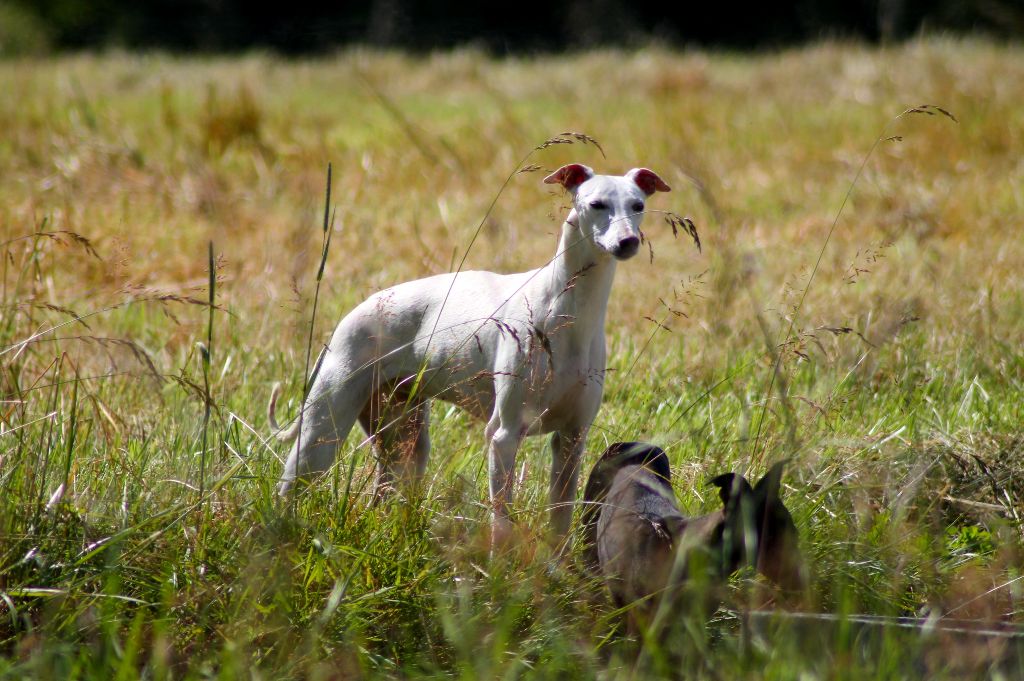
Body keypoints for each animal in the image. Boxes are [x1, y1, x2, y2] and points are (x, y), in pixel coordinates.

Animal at [270, 165, 671, 548]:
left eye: (638, 206)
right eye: (597, 204)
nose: (627, 241)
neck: (568, 309)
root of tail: (349, 317)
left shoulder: (572, 440)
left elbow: (560, 518)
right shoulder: (504, 436)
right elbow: (501, 523)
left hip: (405, 442)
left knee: (383, 495)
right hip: (322, 435)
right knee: (287, 487)